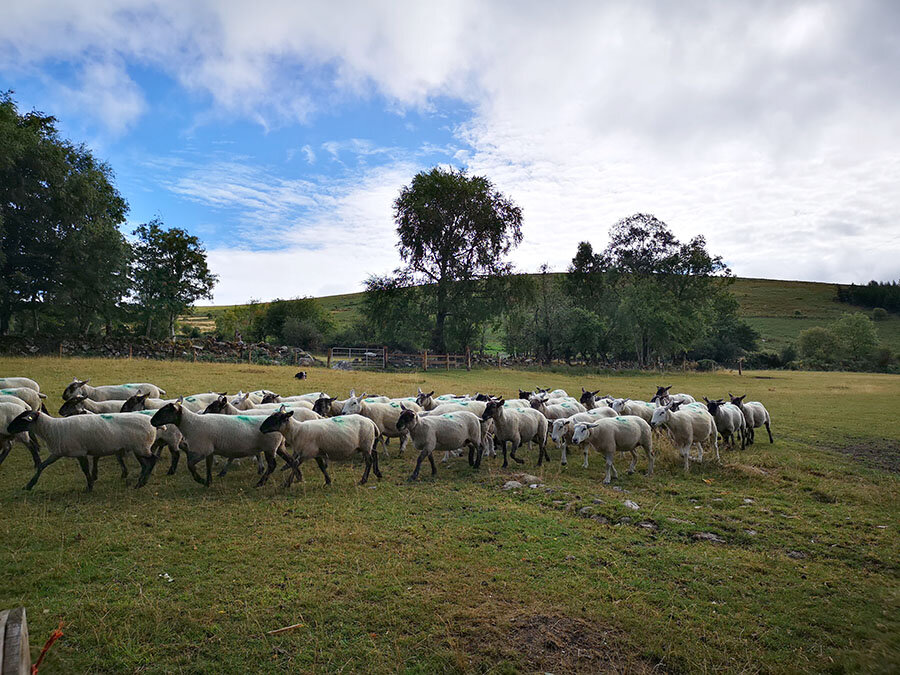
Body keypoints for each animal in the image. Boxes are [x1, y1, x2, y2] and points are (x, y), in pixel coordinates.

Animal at [149, 398, 286, 488]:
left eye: (165, 411)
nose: (151, 421)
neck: (191, 423)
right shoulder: (209, 450)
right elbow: (208, 465)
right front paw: (208, 481)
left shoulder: (202, 449)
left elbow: (190, 465)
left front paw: (200, 480)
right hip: (278, 447)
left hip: (270, 447)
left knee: (272, 465)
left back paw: (260, 482)